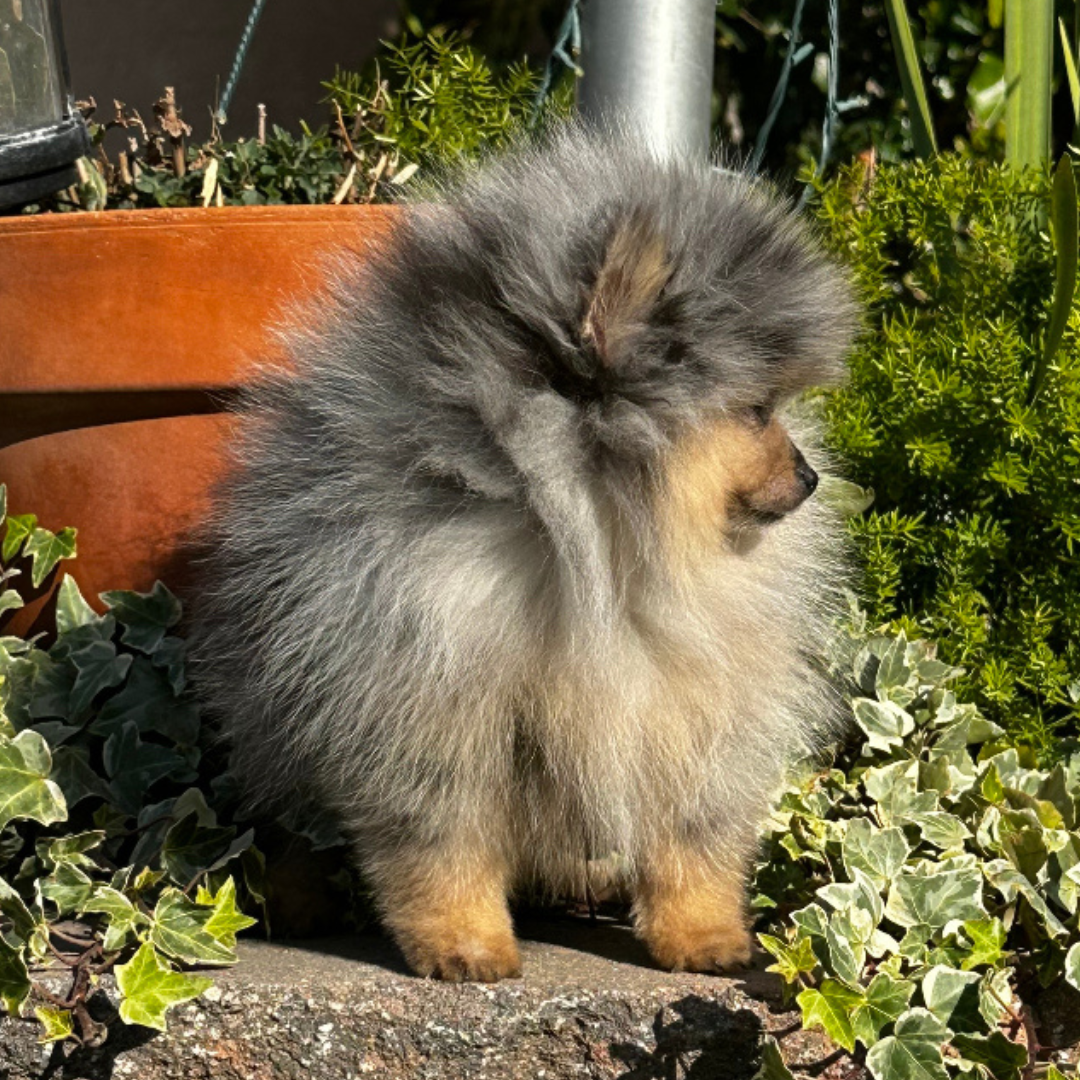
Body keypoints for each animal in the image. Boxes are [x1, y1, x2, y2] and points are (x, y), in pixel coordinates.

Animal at [190, 124, 855, 980]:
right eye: (755, 411)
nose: (809, 477)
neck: (598, 543)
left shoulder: (686, 707)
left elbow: (691, 837)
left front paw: (705, 934)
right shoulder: (426, 700)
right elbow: (443, 842)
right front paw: (463, 941)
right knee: (288, 820)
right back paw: (296, 900)